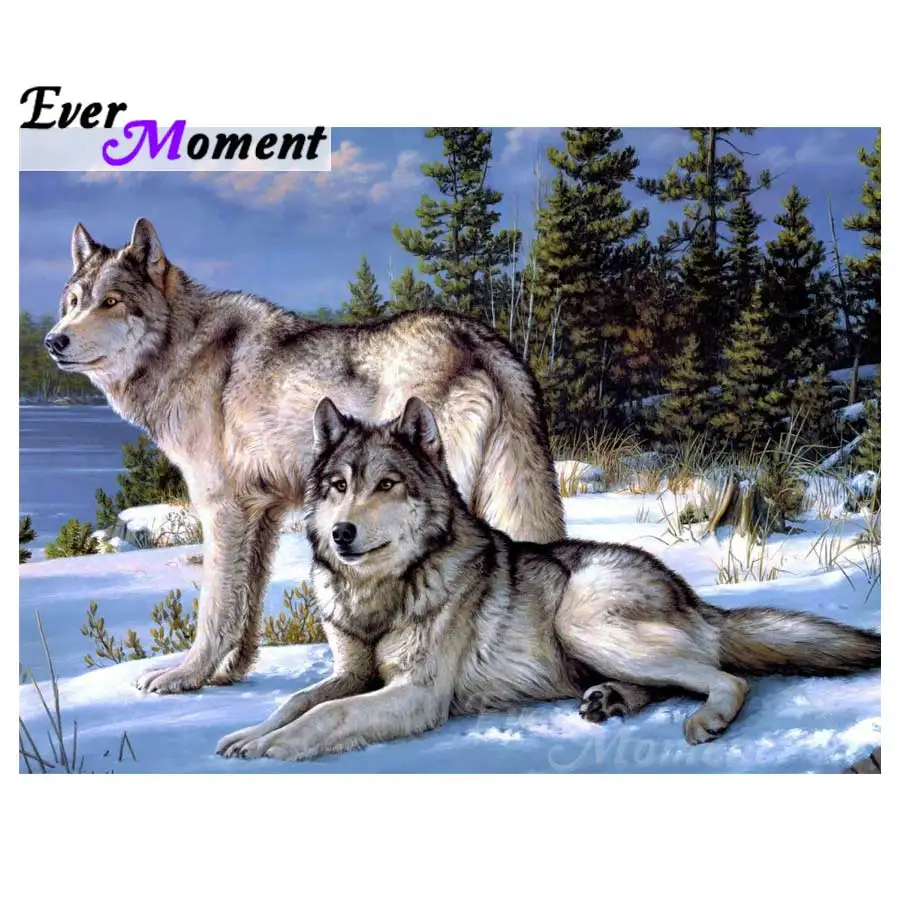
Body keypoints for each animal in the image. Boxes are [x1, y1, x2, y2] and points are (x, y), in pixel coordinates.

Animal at [44, 218, 565, 695]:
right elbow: (246, 605)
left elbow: (215, 608)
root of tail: (481, 338)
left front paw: (185, 677)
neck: (182, 349)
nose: (54, 340)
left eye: (111, 302)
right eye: (74, 303)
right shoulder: (262, 512)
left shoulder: (222, 510)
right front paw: (229, 674)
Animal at [216, 397, 881, 762]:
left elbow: (327, 716)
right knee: (672, 681)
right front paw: (248, 734)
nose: (342, 533)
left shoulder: (417, 694)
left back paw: (704, 720)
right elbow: (297, 701)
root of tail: (690, 594)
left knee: (728, 677)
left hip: (581, 623)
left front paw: (275, 746)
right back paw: (612, 701)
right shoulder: (352, 673)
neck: (382, 593)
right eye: (337, 486)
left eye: (386, 485)